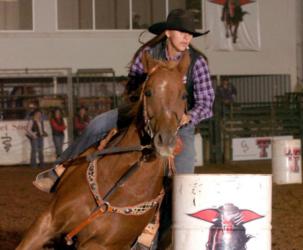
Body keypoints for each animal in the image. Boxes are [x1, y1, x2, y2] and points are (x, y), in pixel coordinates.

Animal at [17, 51, 190, 250]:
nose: (166, 140)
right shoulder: (47, 221)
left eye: (184, 96)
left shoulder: (98, 245)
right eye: (148, 92)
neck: (119, 182)